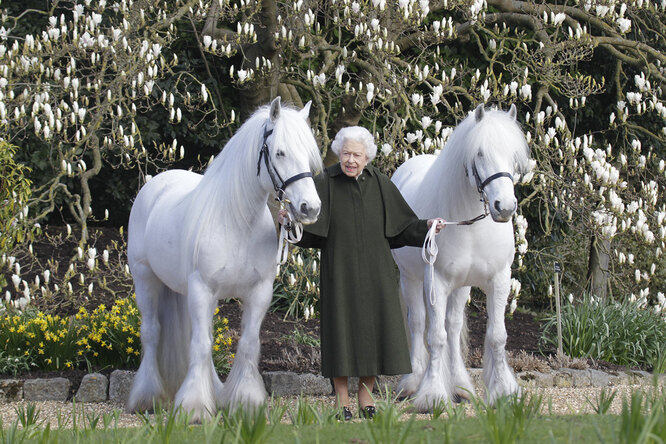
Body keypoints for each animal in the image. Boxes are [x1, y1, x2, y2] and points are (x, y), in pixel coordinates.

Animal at [126, 97, 322, 420]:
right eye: (280, 152)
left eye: (308, 155)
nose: (310, 208)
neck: (237, 222)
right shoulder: (202, 289)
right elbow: (201, 346)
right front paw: (194, 407)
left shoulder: (258, 293)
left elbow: (247, 344)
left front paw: (245, 401)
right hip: (146, 279)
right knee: (152, 333)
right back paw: (147, 397)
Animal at [390, 105, 528, 412]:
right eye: (480, 154)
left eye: (513, 154)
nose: (505, 207)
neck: (471, 225)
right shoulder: (437, 282)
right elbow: (435, 337)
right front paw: (431, 395)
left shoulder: (499, 280)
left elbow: (496, 336)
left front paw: (503, 391)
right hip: (411, 279)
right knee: (418, 322)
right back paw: (412, 383)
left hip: (461, 286)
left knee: (452, 328)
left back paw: (461, 387)